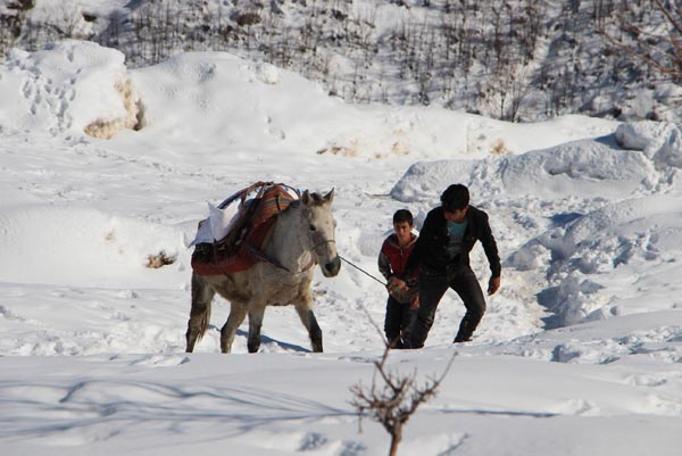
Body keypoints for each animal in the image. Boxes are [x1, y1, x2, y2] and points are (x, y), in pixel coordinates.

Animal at [185, 189, 338, 352]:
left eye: (334, 224)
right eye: (312, 226)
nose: (334, 266)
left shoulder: (303, 299)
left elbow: (316, 333)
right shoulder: (258, 302)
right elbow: (254, 342)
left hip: (240, 302)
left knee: (227, 333)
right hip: (202, 290)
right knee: (193, 330)